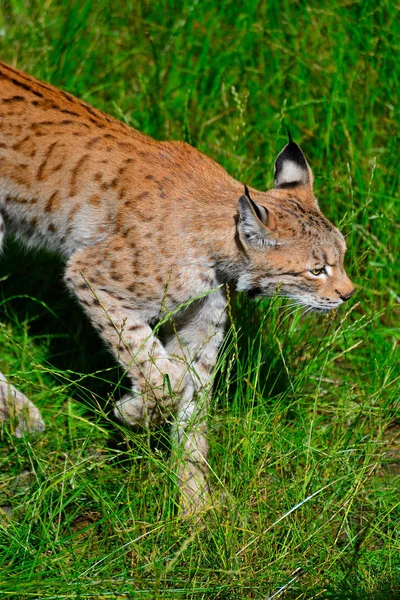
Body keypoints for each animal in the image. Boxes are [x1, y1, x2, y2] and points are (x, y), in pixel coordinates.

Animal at [0, 61, 352, 510]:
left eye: (341, 258)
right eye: (317, 270)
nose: (348, 294)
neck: (221, 252)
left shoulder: (201, 324)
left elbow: (193, 404)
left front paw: (194, 508)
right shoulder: (89, 273)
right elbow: (161, 373)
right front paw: (134, 412)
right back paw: (20, 412)